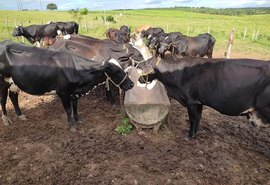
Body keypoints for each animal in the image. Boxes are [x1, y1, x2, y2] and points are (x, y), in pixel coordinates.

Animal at [0, 40, 134, 130]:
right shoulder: (63, 92)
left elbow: (75, 106)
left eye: (122, 67)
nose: (131, 84)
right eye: (116, 71)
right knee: (3, 100)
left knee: (13, 97)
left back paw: (20, 115)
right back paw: (6, 120)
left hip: (14, 83)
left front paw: (78, 120)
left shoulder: (74, 92)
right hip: (3, 83)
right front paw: (71, 126)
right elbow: (68, 109)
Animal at [139, 56, 270, 139]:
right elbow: (198, 118)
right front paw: (195, 133)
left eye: (145, 66)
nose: (139, 79)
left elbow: (193, 118)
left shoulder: (191, 101)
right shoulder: (199, 102)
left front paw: (189, 136)